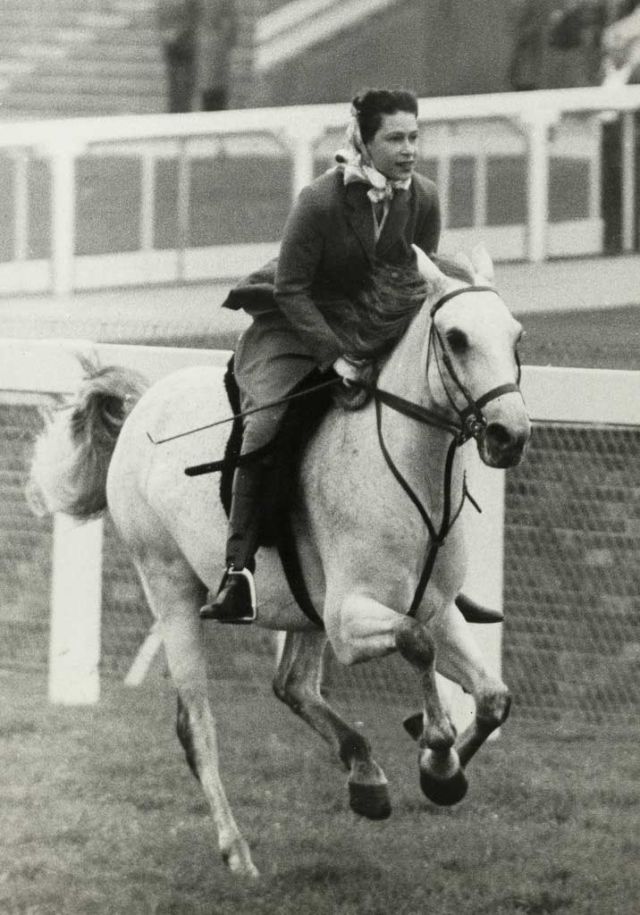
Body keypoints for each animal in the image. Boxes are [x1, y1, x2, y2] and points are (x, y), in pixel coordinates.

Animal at [27, 247, 528, 876]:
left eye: (516, 336)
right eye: (457, 338)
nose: (511, 435)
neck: (412, 479)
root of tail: (143, 404)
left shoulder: (436, 608)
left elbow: (491, 696)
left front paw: (442, 774)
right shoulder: (349, 619)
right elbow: (417, 643)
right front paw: (435, 744)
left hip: (300, 607)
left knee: (292, 685)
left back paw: (364, 774)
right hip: (171, 589)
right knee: (197, 724)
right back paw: (237, 851)